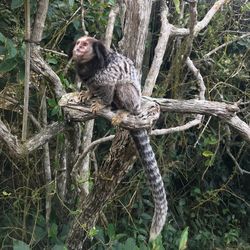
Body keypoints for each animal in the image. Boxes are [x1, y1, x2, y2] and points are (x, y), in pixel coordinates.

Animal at [70, 36, 168, 240]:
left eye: (84, 45)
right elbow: (91, 87)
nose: (78, 47)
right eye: (78, 43)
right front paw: (88, 93)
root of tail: (138, 107)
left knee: (123, 87)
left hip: (134, 100)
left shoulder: (107, 75)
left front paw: (101, 104)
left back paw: (123, 111)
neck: (91, 64)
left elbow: (110, 87)